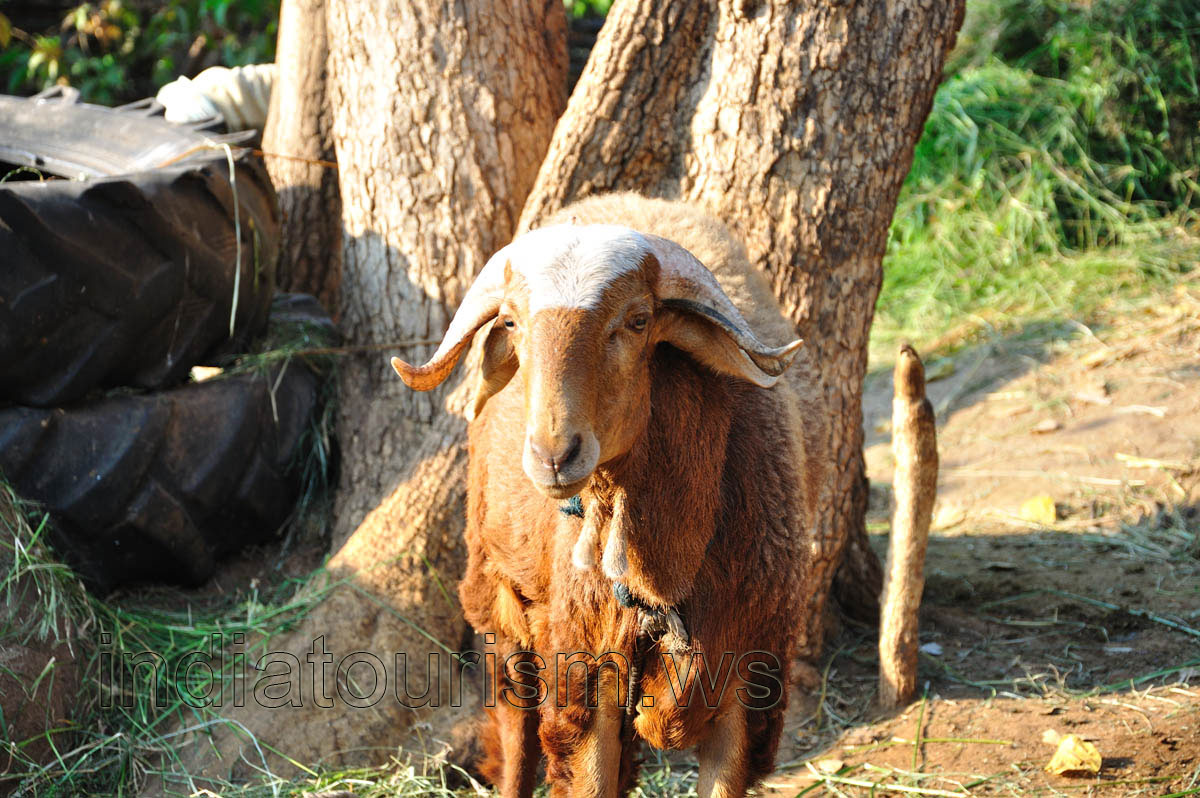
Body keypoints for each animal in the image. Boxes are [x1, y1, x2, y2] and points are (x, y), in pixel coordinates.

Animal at [392, 193, 821, 798]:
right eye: (511, 322)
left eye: (639, 321)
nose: (553, 454)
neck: (665, 569)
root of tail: (623, 199)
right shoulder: (587, 675)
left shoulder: (746, 681)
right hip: (504, 604)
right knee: (517, 739)